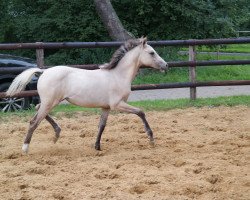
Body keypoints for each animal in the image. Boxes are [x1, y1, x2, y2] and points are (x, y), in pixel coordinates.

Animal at [6, 37, 168, 153]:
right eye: (152, 52)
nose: (165, 65)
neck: (118, 76)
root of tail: (43, 71)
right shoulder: (117, 104)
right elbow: (141, 112)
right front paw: (151, 138)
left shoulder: (106, 107)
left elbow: (101, 126)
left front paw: (97, 147)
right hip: (50, 102)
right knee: (34, 121)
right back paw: (25, 148)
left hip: (50, 102)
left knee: (37, 109)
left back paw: (57, 134)